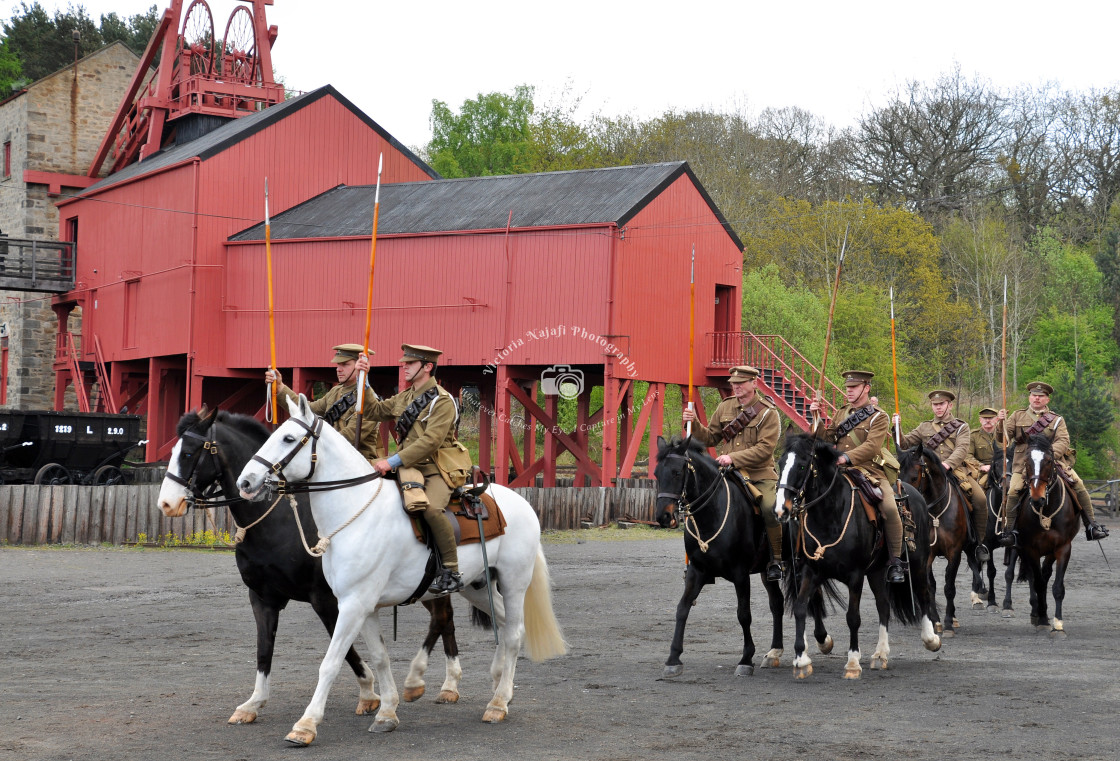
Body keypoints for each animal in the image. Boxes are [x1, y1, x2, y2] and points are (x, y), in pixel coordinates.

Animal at [156, 410, 463, 726]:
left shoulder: (328, 599)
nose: (166, 503)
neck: (277, 522)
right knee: (445, 619)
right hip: (423, 589)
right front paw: (253, 703)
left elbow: (344, 653)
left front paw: (368, 692)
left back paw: (429, 682)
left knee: (442, 619)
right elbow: (264, 650)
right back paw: (444, 684)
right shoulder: (263, 598)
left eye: (189, 452)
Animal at [236, 396, 568, 748]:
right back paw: (497, 683)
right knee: (505, 626)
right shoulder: (362, 607)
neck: (354, 514)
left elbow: (331, 663)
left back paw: (498, 702)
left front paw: (306, 725)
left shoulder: (351, 605)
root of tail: (523, 504)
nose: (245, 482)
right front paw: (386, 712)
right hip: (476, 587)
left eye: (288, 438)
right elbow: (380, 657)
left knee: (515, 633)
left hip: (513, 581)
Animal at [649, 434, 833, 676]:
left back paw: (822, 640)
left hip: (802, 565)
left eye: (677, 472)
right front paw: (673, 659)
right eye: (656, 473)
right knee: (777, 603)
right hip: (768, 571)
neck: (713, 513)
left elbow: (743, 614)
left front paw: (746, 659)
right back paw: (774, 651)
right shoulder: (696, 572)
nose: (663, 516)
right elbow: (682, 608)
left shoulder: (740, 575)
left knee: (813, 595)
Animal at [775, 434, 940, 676]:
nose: (781, 510)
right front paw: (801, 660)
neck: (830, 515)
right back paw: (880, 654)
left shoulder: (855, 576)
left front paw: (852, 662)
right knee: (884, 606)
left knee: (924, 592)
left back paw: (931, 638)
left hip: (918, 562)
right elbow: (800, 608)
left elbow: (853, 617)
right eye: (780, 464)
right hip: (878, 570)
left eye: (803, 466)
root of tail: (914, 493)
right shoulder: (811, 571)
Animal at [1012, 434, 1079, 636]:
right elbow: (1039, 583)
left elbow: (1057, 586)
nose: (1037, 498)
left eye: (1049, 461)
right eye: (1027, 462)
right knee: (1034, 577)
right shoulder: (1030, 549)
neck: (1046, 509)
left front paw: (1058, 623)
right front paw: (1042, 619)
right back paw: (1036, 612)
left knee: (1045, 573)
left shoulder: (1063, 548)